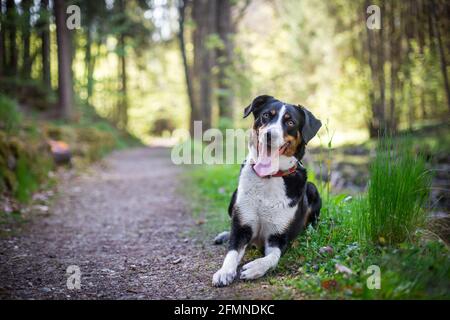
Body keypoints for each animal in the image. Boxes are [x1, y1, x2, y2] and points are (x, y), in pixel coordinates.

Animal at [212, 94, 322, 286]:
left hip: (313, 190)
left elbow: (271, 258)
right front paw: (224, 271)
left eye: (290, 122)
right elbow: (232, 251)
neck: (269, 177)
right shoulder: (242, 227)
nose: (269, 134)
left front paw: (255, 268)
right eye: (266, 116)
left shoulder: (278, 238)